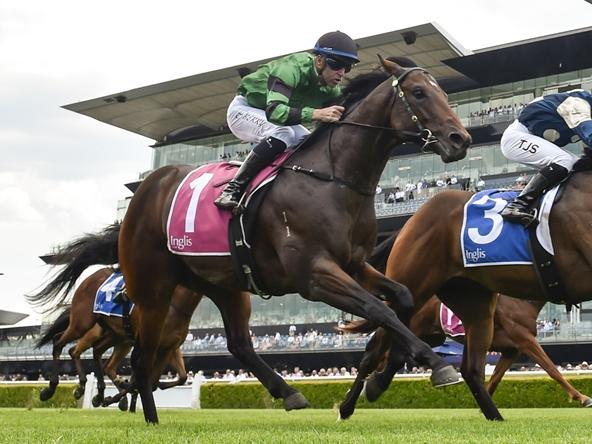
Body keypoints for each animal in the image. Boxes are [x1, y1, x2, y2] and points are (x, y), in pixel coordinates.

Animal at [113, 57, 470, 422]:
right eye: (419, 92)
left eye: (444, 94)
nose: (460, 139)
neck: (332, 178)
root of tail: (152, 183)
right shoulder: (313, 274)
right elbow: (378, 309)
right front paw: (437, 364)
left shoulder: (354, 265)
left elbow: (403, 298)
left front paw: (385, 374)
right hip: (153, 289)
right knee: (142, 359)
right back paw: (151, 418)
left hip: (223, 283)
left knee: (238, 343)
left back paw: (289, 393)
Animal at [338, 157, 592, 420]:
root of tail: (410, 221)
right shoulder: (524, 338)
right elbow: (552, 368)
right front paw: (582, 398)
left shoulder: (510, 350)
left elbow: (495, 377)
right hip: (413, 293)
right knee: (375, 351)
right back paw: (349, 405)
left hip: (456, 318)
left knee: (445, 364)